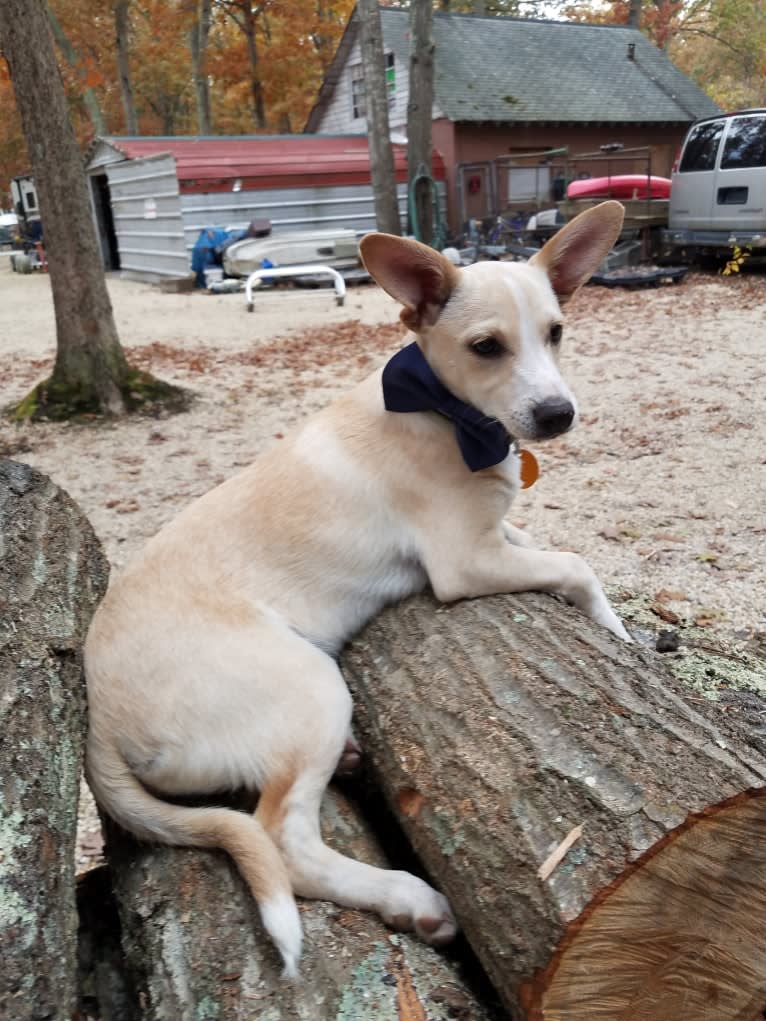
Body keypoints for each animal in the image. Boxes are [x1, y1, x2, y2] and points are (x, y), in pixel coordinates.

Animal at [86, 201, 633, 980]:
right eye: (486, 347)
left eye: (556, 332)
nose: (558, 415)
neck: (442, 412)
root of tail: (97, 718)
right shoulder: (464, 563)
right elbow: (578, 564)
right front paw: (616, 630)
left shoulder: (496, 534)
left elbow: (544, 541)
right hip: (313, 687)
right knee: (285, 843)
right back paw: (408, 898)